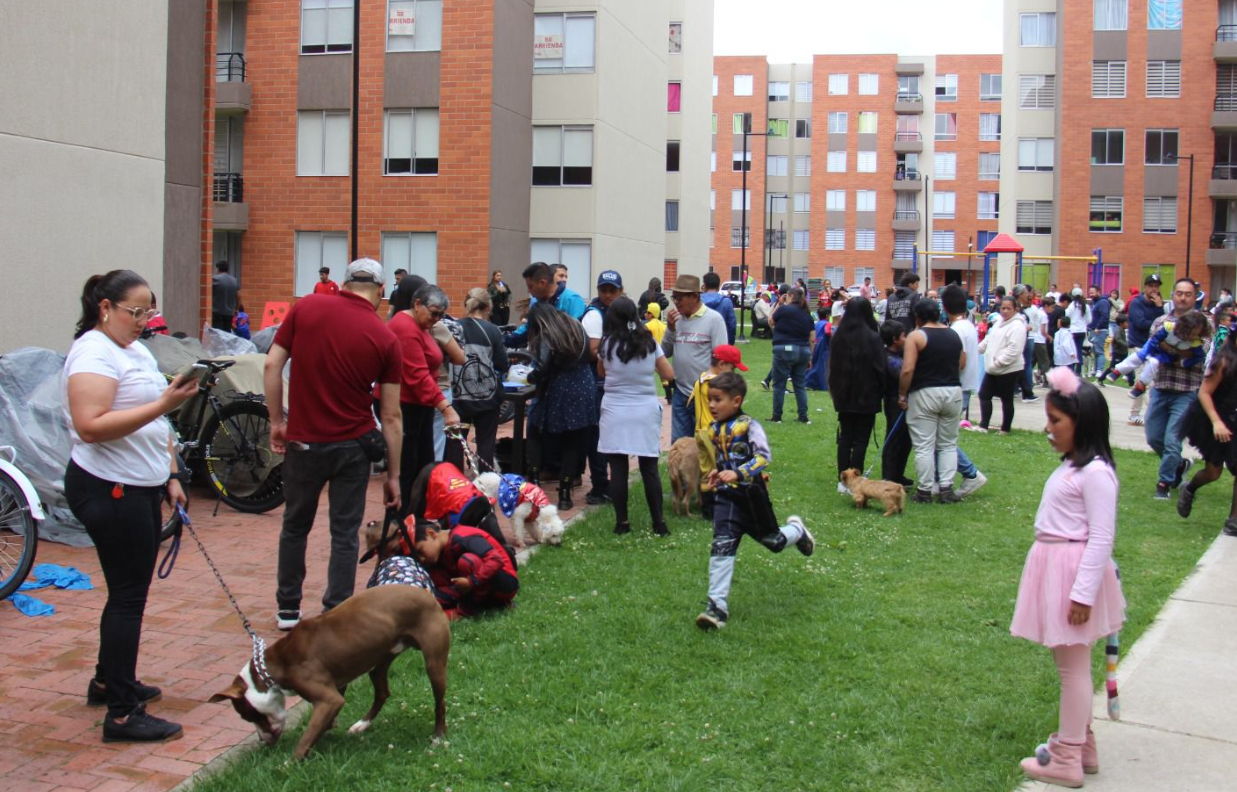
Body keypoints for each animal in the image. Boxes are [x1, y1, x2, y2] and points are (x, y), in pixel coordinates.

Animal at [210, 589, 452, 762]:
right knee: (382, 692)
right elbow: (320, 726)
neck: (273, 666)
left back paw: (438, 737)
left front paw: (288, 765)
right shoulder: (336, 686)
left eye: (247, 716)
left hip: (434, 665)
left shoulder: (329, 699)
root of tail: (426, 593)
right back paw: (362, 724)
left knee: (439, 703)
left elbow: (307, 736)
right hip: (380, 661)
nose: (263, 741)